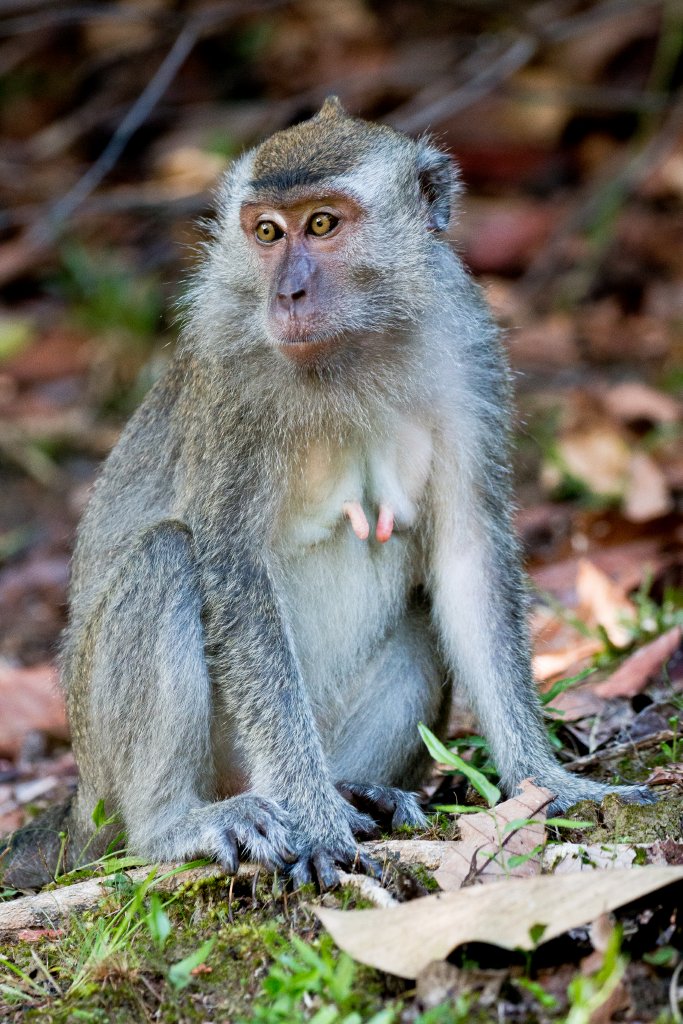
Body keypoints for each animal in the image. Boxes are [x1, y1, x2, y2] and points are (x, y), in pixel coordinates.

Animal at [0, 97, 653, 892]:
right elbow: (233, 570)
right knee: (167, 557)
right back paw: (178, 823)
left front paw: (546, 780)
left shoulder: (465, 350)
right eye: (267, 232)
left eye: (321, 225)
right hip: (108, 775)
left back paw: (356, 789)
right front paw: (312, 819)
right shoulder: (231, 383)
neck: (350, 350)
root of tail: (75, 805)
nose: (287, 294)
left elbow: (467, 556)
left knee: (418, 618)